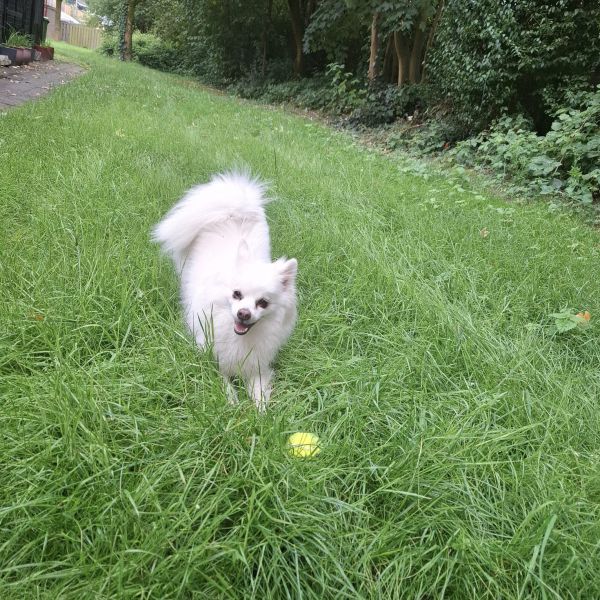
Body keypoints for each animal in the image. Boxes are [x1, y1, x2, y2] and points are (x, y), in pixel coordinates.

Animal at [152, 171, 298, 410]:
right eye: (236, 294)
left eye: (263, 303)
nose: (243, 313)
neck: (238, 336)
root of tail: (234, 211)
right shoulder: (212, 357)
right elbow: (225, 384)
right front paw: (231, 404)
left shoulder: (257, 365)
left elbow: (259, 392)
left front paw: (261, 412)